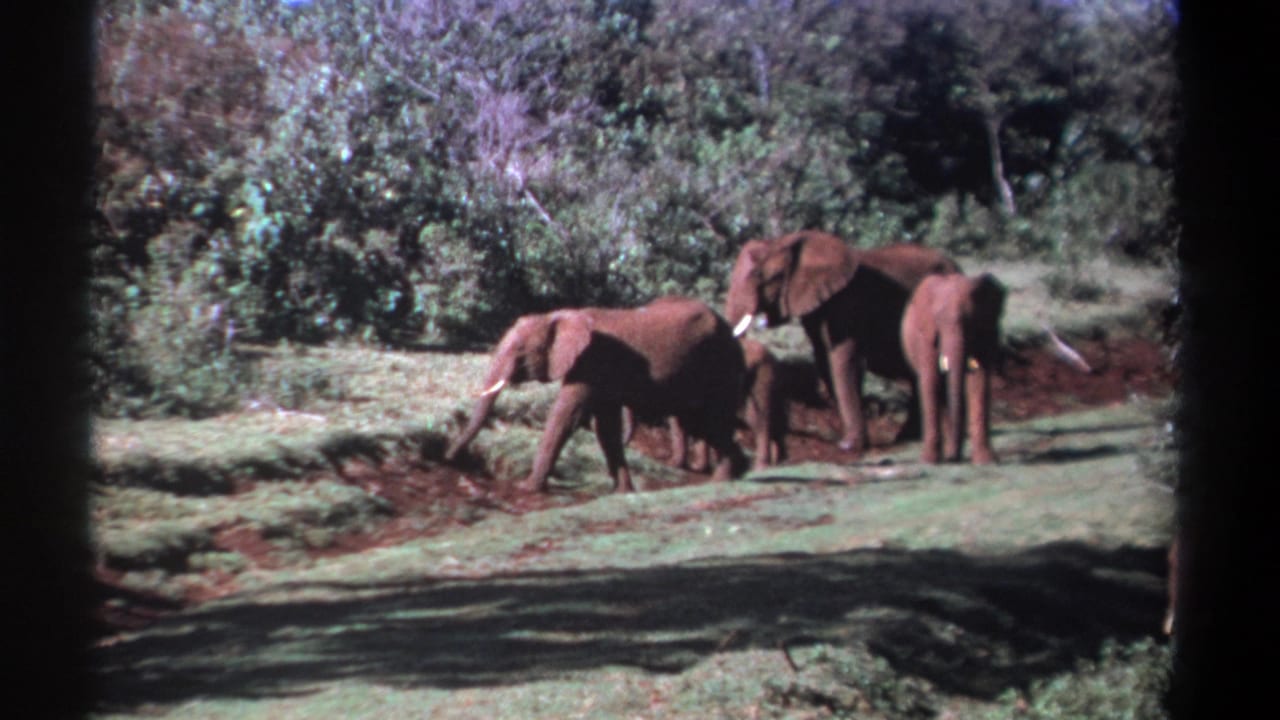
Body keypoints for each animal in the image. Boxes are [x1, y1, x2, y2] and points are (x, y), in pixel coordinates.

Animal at [444, 296, 749, 493]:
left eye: (520, 352)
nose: (450, 459)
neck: (560, 315)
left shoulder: (591, 361)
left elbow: (565, 415)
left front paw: (526, 488)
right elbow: (606, 428)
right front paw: (624, 493)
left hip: (719, 363)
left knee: (713, 421)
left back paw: (723, 480)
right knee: (705, 423)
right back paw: (736, 473)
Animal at [724, 230, 962, 455]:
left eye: (766, 277)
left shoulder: (846, 302)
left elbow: (843, 358)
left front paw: (848, 446)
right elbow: (824, 358)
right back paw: (908, 437)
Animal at [900, 272, 1007, 464]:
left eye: (970, 322)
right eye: (938, 320)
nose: (954, 459)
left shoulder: (987, 331)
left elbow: (979, 382)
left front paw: (986, 461)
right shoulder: (926, 337)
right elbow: (931, 381)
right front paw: (929, 461)